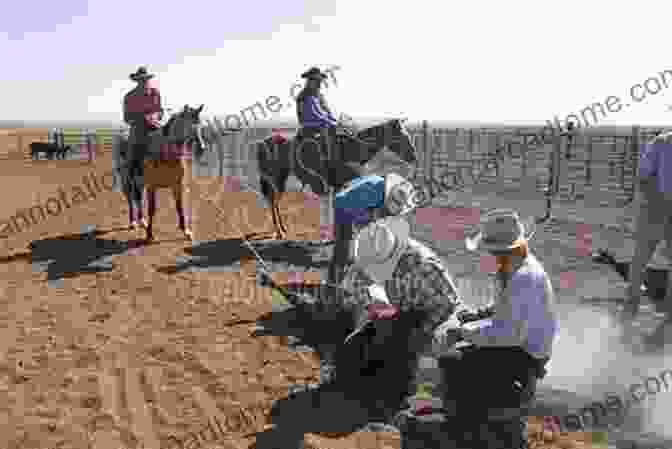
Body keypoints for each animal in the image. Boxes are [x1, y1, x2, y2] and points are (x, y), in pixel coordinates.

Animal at [113, 104, 209, 242]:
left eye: (200, 125)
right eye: (188, 126)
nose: (201, 149)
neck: (166, 155)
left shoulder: (177, 185)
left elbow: (179, 206)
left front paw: (186, 231)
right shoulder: (152, 187)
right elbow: (152, 209)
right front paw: (149, 234)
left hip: (139, 183)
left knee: (138, 198)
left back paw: (142, 221)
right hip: (127, 180)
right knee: (131, 199)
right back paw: (133, 223)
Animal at [255, 117, 418, 282]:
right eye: (401, 135)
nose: (414, 157)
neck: (351, 150)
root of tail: (263, 142)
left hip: (280, 176)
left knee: (274, 201)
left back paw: (282, 229)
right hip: (274, 178)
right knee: (273, 201)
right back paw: (279, 232)